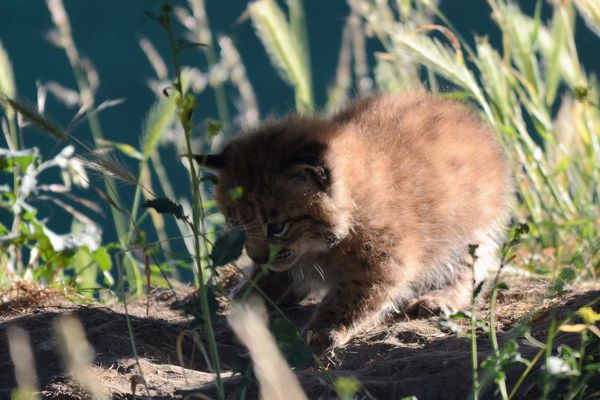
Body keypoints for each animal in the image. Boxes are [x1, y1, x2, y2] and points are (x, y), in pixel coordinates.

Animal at [196, 91, 510, 346]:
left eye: (277, 227)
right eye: (237, 226)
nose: (257, 257)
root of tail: (465, 114)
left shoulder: (383, 260)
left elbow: (351, 296)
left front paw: (324, 331)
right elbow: (279, 272)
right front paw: (251, 293)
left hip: (470, 229)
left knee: (471, 269)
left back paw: (438, 298)